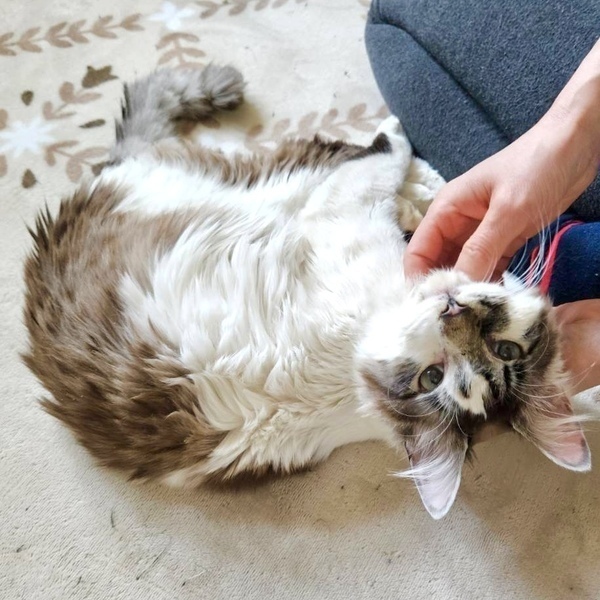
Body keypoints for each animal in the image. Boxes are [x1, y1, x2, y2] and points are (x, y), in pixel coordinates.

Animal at [23, 65, 591, 519]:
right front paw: (426, 185)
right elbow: (389, 167)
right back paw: (419, 177)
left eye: (501, 353)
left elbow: (380, 163)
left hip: (245, 183)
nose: (454, 312)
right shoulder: (348, 218)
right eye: (434, 376)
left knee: (333, 154)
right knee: (354, 156)